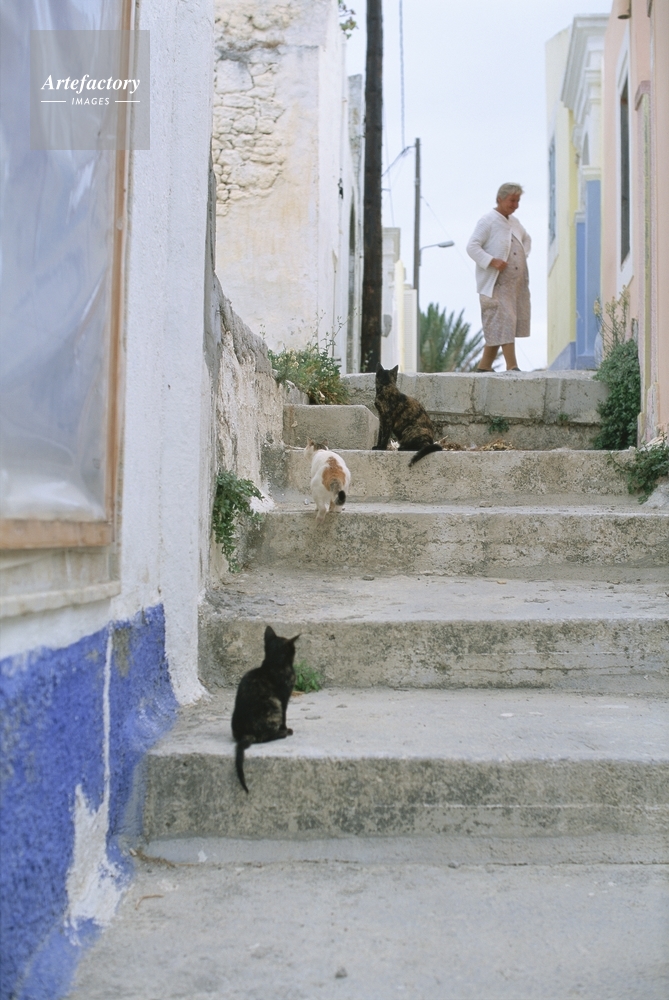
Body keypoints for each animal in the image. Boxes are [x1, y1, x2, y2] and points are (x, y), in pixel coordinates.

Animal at [231, 625, 300, 793]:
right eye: (293, 649)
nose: (296, 650)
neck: (272, 664)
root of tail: (245, 735)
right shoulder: (284, 698)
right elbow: (285, 717)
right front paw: (286, 728)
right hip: (274, 706)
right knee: (263, 737)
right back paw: (283, 733)